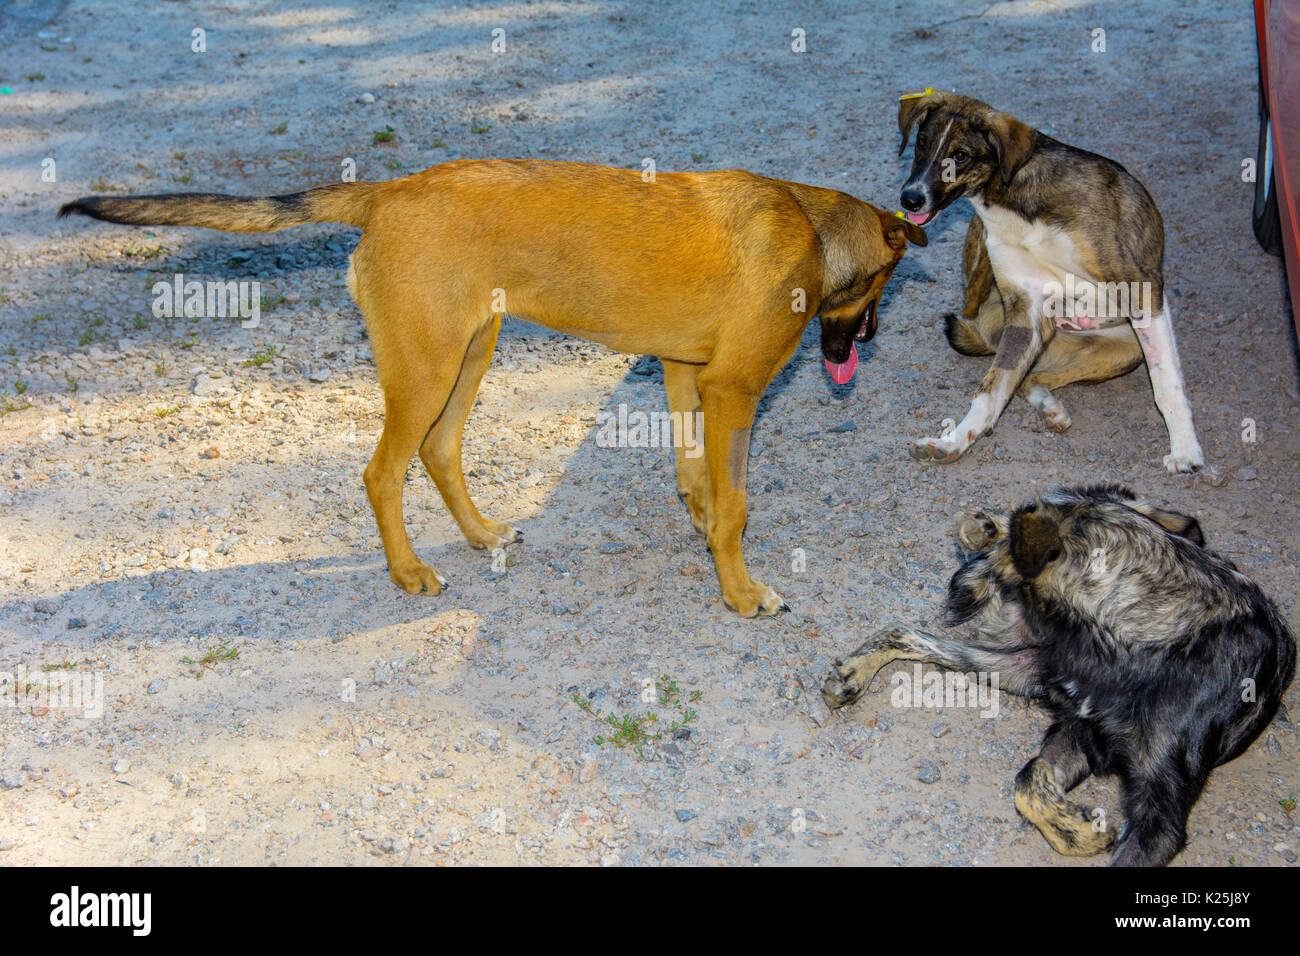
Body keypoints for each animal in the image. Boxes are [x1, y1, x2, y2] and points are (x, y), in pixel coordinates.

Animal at [61, 160, 925, 616]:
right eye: (886, 283)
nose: (867, 343)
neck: (815, 230)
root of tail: (388, 190)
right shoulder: (735, 390)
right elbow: (739, 501)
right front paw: (742, 591)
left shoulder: (688, 374)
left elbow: (695, 478)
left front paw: (706, 530)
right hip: (425, 371)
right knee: (381, 473)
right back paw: (409, 571)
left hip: (470, 353)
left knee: (440, 452)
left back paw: (480, 536)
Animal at [826, 486, 1294, 868]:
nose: (960, 580)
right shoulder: (1075, 732)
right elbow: (1029, 781)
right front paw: (1081, 831)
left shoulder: (1160, 817)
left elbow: (1032, 784)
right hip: (1016, 665)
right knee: (905, 631)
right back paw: (853, 671)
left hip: (1013, 664)